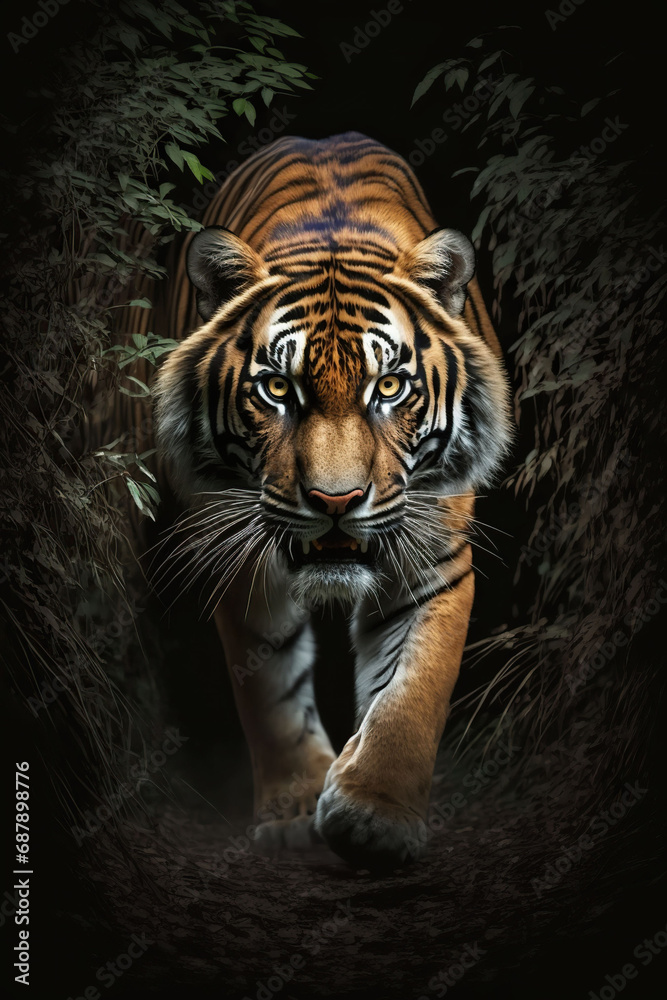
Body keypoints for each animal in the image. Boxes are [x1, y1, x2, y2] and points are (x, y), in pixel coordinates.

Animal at [153, 131, 512, 870]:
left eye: (390, 387)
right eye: (276, 389)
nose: (335, 499)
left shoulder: (433, 556)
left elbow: (413, 690)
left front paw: (375, 815)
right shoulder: (243, 558)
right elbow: (269, 692)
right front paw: (294, 813)